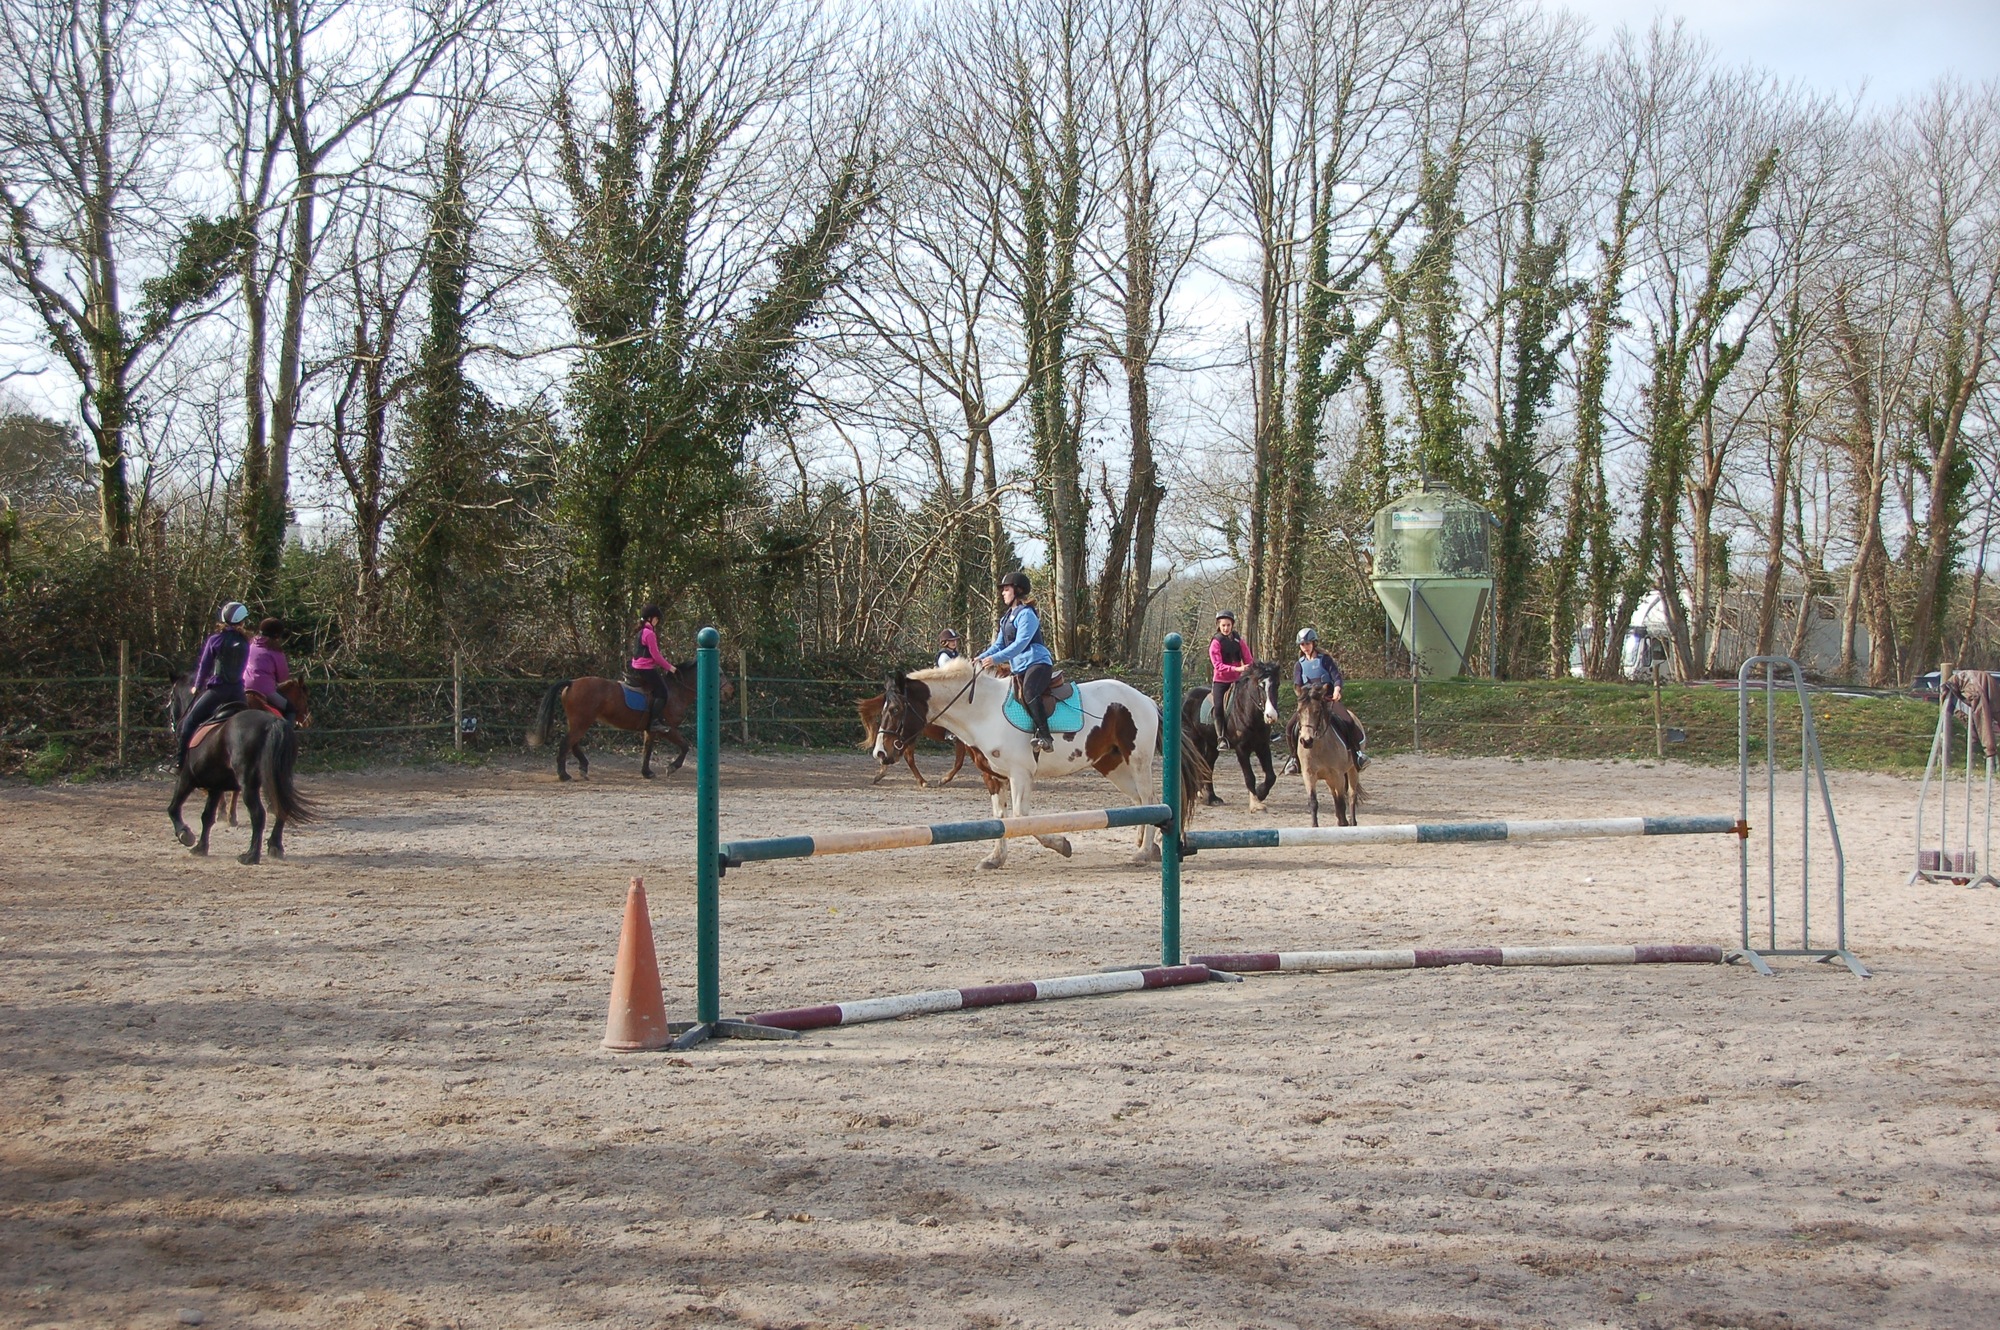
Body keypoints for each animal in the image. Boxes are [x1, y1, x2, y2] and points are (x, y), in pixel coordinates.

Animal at [166, 684, 314, 860]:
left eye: (172, 699)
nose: (308, 721)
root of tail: (273, 723)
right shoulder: (215, 786)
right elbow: (207, 816)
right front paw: (201, 847)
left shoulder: (187, 778)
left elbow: (173, 808)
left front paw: (185, 834)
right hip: (278, 780)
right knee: (280, 807)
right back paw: (274, 846)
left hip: (249, 784)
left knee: (258, 814)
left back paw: (251, 856)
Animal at [528, 664, 732, 780]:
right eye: (720, 674)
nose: (730, 691)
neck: (676, 691)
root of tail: (572, 682)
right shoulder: (668, 728)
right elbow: (685, 746)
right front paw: (671, 768)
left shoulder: (651, 730)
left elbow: (647, 750)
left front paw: (647, 772)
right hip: (581, 723)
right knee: (566, 743)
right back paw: (563, 775)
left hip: (579, 722)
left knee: (573, 743)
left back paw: (583, 767)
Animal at [884, 656, 1208, 872]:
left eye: (896, 709)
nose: (881, 753)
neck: (982, 711)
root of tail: (1146, 700)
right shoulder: (993, 777)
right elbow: (1000, 818)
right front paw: (994, 859)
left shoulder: (1020, 774)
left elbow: (1020, 818)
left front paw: (1062, 845)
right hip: (1111, 764)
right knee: (1142, 802)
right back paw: (1147, 847)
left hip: (1137, 761)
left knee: (1151, 799)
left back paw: (1142, 853)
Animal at [1176, 660, 1288, 808]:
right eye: (1260, 685)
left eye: (1277, 684)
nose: (1271, 716)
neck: (1249, 714)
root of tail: (1186, 697)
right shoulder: (1241, 749)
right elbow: (1249, 777)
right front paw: (1255, 803)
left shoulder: (1262, 746)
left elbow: (1271, 776)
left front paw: (1260, 793)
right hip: (1195, 741)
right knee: (1197, 764)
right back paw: (1200, 794)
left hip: (1212, 745)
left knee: (1208, 765)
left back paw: (1211, 797)